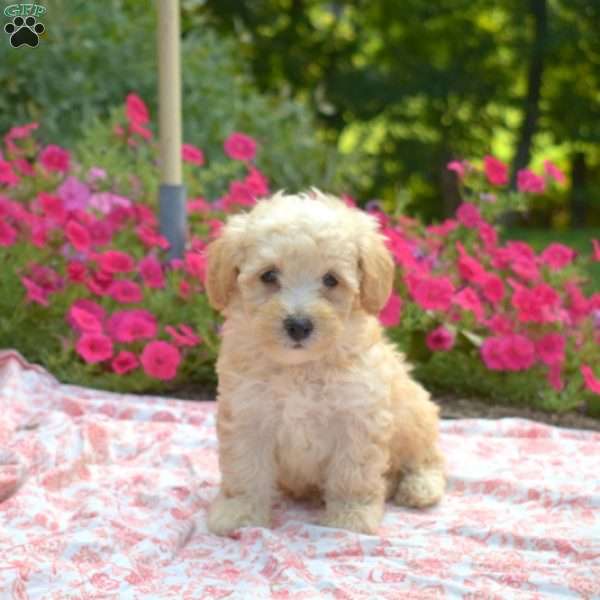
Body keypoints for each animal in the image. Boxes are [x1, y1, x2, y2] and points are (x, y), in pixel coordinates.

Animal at [204, 189, 442, 536]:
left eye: (331, 280)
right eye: (269, 275)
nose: (299, 325)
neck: (300, 367)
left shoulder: (358, 416)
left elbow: (352, 474)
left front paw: (351, 518)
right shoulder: (247, 413)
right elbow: (245, 469)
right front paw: (240, 514)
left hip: (415, 414)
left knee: (428, 457)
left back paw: (420, 487)